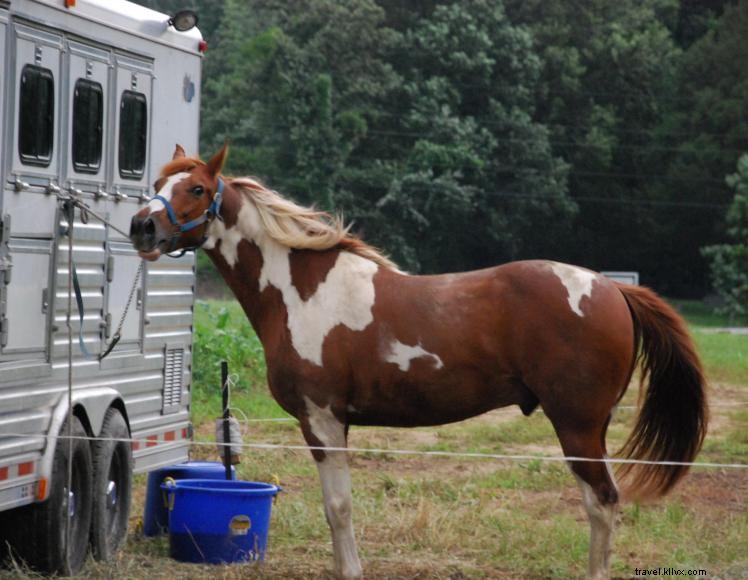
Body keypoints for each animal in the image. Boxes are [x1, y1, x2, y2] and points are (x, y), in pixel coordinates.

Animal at [129, 144, 708, 579]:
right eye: (158, 181)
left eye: (195, 189)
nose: (141, 228)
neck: (300, 291)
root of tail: (612, 287)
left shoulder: (322, 420)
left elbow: (337, 509)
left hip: (577, 426)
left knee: (602, 503)